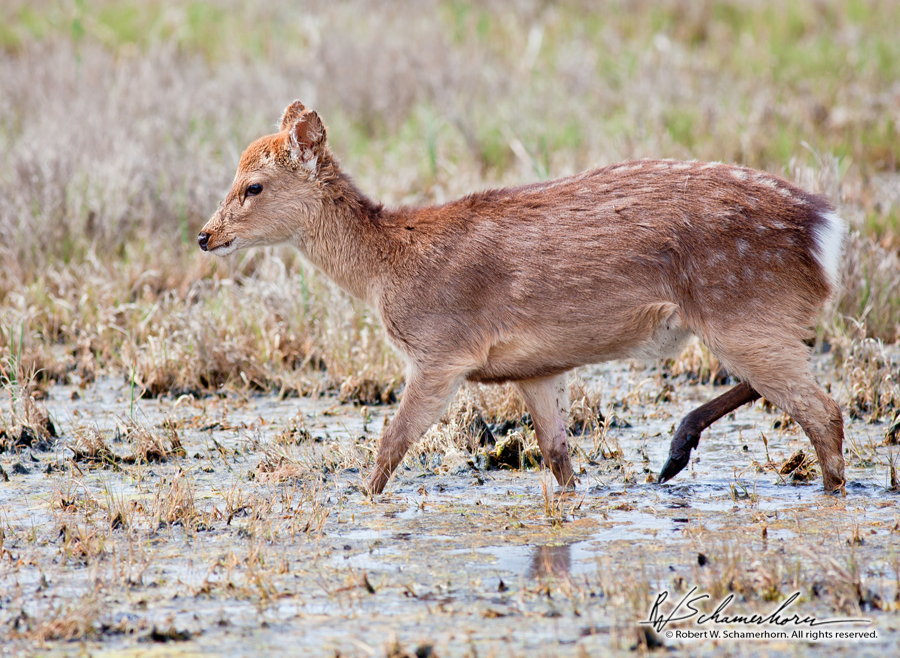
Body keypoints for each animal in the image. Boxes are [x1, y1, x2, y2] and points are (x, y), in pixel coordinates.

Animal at [199, 101, 852, 492]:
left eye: (253, 185)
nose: (205, 235)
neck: (389, 267)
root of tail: (822, 230)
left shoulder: (441, 352)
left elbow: (390, 446)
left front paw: (362, 504)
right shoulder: (538, 369)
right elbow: (559, 462)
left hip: (741, 305)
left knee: (825, 412)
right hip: (752, 317)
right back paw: (673, 454)